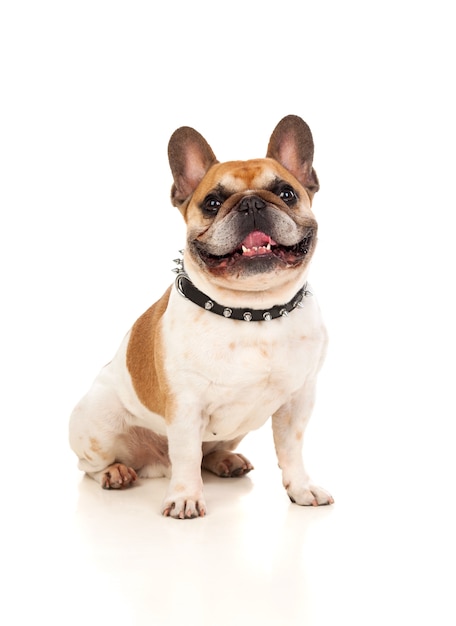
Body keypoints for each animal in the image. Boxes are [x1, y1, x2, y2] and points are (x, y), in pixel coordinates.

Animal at [70, 113, 334, 516]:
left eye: (286, 193)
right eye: (212, 202)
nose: (251, 204)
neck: (252, 311)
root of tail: (153, 464)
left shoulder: (297, 401)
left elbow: (292, 450)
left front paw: (301, 489)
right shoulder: (184, 405)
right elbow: (185, 453)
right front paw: (184, 497)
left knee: (209, 451)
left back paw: (225, 460)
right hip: (97, 420)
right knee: (91, 465)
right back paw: (115, 472)